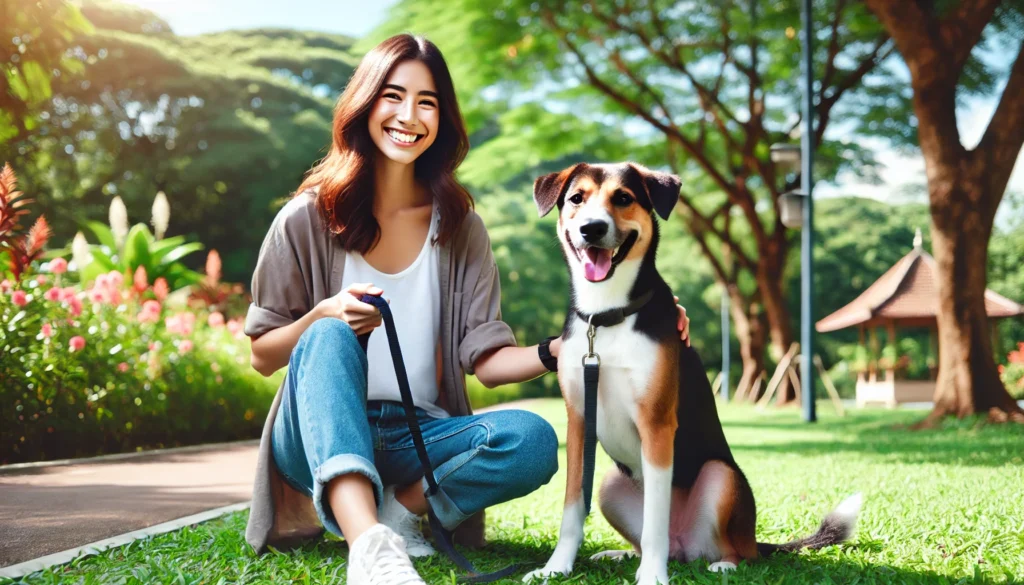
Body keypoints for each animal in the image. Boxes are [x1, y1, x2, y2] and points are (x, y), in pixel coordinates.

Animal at [524, 161, 860, 585]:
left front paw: (652, 577)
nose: (592, 228)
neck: (607, 315)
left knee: (736, 552)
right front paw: (556, 567)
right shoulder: (580, 422)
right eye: (576, 198)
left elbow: (655, 517)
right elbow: (572, 508)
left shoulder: (657, 423)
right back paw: (620, 554)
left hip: (721, 477)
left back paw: (721, 563)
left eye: (623, 198)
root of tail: (685, 546)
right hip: (610, 483)